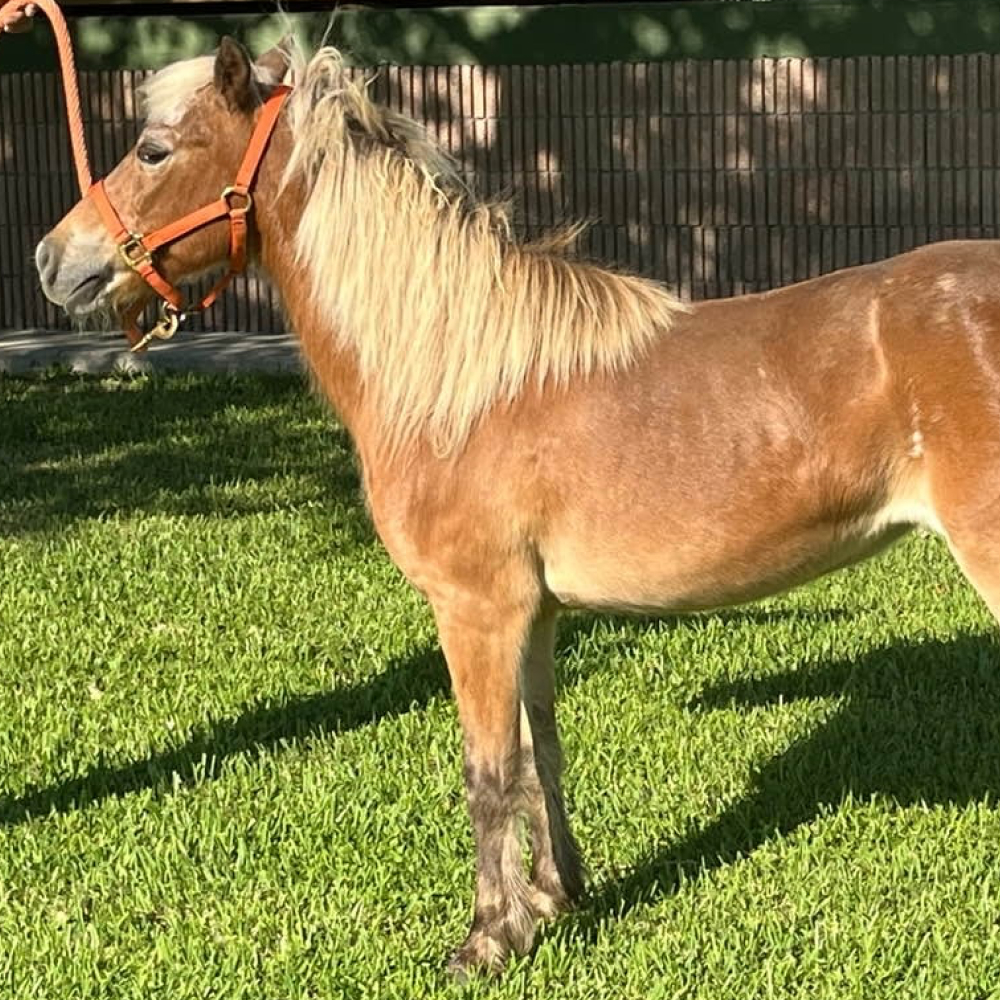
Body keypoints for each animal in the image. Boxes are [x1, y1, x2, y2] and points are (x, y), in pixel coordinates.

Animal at [35, 37, 1000, 968]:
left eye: (153, 150)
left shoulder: (476, 609)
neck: (454, 377)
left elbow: (487, 773)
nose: (52, 258)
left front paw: (488, 938)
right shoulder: (533, 614)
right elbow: (542, 756)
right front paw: (555, 897)